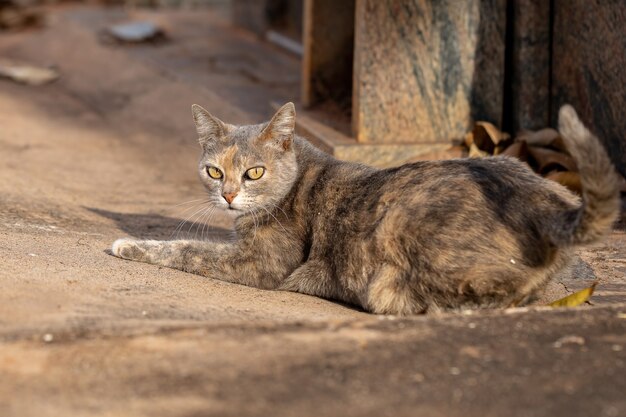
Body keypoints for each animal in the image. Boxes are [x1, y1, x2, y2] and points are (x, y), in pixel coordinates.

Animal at [109, 102, 616, 314]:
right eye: (215, 171)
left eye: (253, 172)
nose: (229, 196)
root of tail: (541, 198)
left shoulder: (259, 262)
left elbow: (186, 249)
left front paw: (126, 244)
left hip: (399, 228)